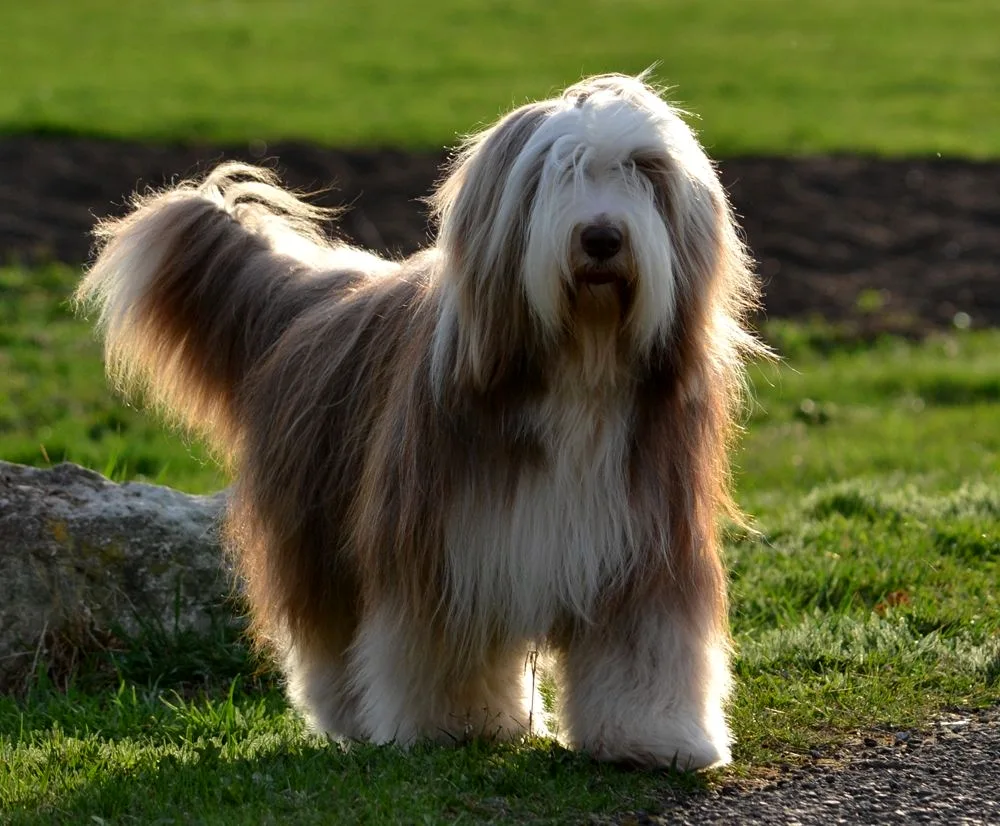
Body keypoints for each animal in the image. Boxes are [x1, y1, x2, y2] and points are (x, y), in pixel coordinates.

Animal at [78, 74, 764, 768]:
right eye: (556, 173)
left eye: (644, 175)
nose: (601, 238)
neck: (578, 368)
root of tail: (311, 294)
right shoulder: (447, 545)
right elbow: (444, 648)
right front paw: (456, 726)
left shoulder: (644, 546)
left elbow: (644, 649)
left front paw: (653, 739)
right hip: (318, 525)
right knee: (331, 634)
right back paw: (349, 716)